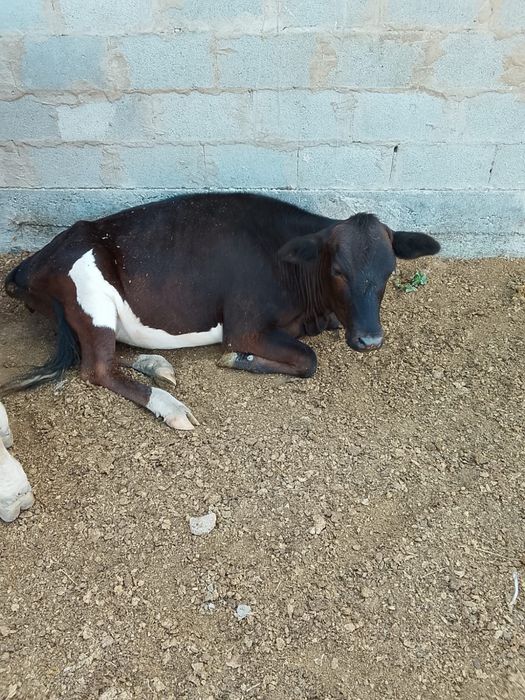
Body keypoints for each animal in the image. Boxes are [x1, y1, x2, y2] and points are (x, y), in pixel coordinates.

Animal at [3, 193, 440, 435]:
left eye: (389, 270)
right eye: (338, 271)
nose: (370, 339)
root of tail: (34, 260)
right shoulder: (245, 326)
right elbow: (308, 359)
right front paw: (238, 359)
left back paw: (158, 367)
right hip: (92, 298)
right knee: (97, 368)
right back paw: (171, 406)